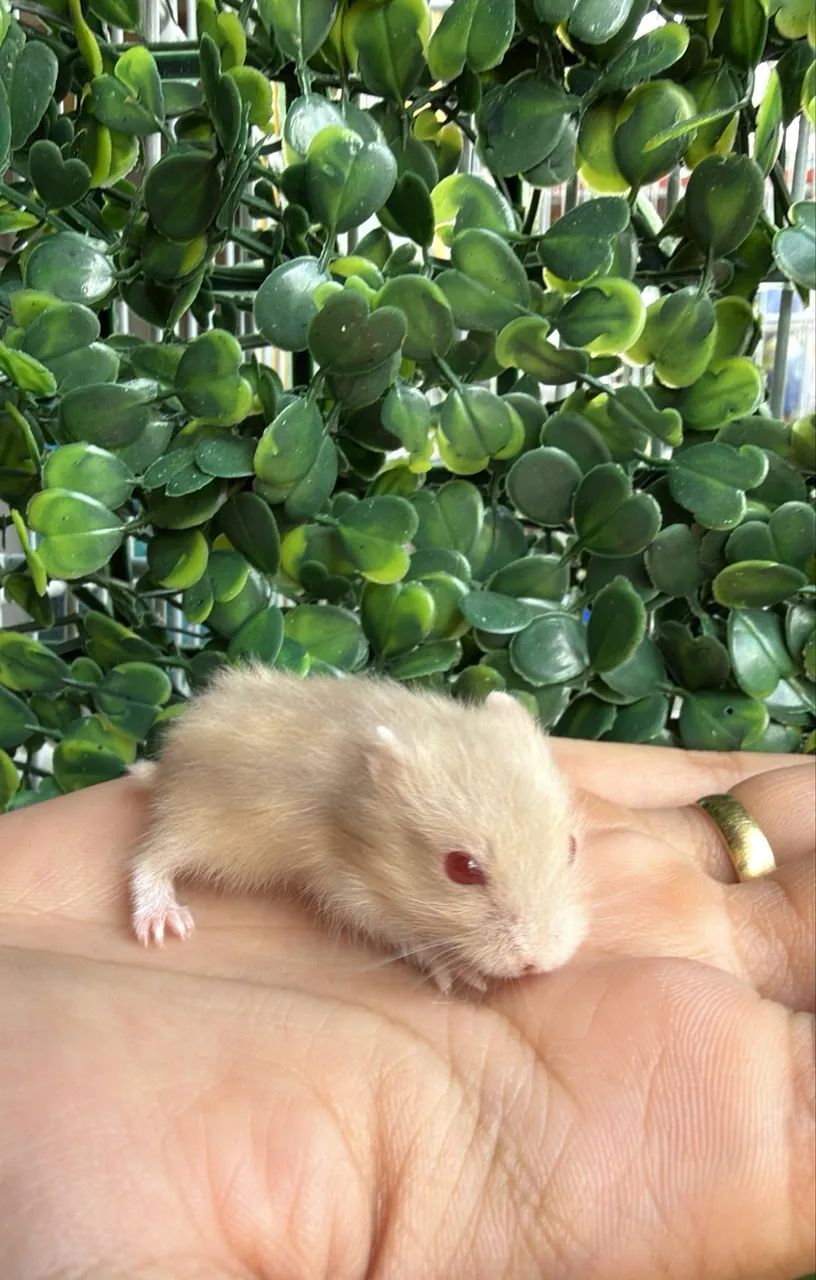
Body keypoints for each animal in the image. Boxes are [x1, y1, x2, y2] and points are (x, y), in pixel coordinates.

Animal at [129, 666, 587, 993]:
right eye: (461, 868)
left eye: (571, 847)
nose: (540, 965)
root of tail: (167, 763)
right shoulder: (349, 884)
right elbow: (404, 931)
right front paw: (460, 973)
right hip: (200, 820)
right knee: (149, 858)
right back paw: (162, 923)